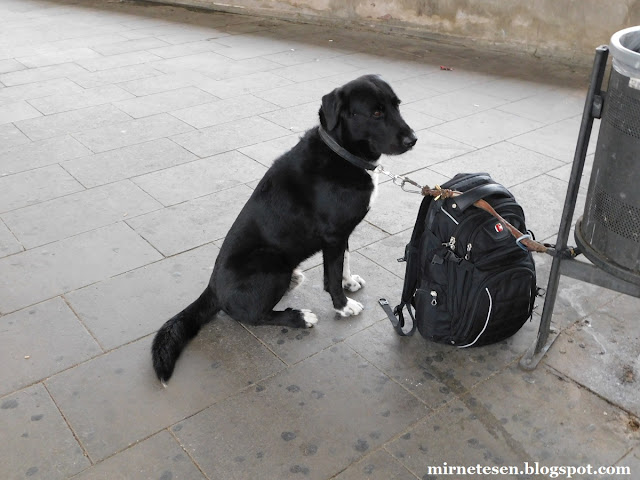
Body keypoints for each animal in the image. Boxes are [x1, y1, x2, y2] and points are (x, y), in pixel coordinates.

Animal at [152, 74, 418, 382]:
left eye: (396, 105)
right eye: (376, 113)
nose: (413, 139)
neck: (342, 154)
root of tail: (212, 289)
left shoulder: (343, 232)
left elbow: (345, 260)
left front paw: (349, 282)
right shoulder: (333, 235)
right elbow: (331, 274)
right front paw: (343, 305)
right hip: (272, 263)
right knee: (253, 316)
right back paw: (299, 317)